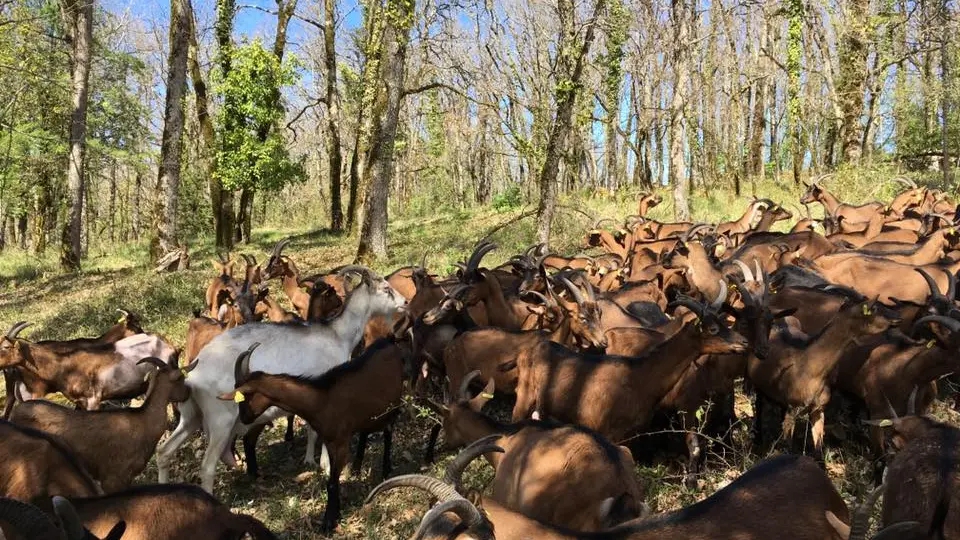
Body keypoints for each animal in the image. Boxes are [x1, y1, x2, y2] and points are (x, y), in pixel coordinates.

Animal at [156, 266, 404, 494]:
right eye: (386, 289)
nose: (403, 302)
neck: (336, 335)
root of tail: (194, 377)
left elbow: (312, 429)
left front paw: (310, 460)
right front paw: (324, 466)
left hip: (191, 416)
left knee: (164, 452)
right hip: (220, 420)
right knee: (207, 466)